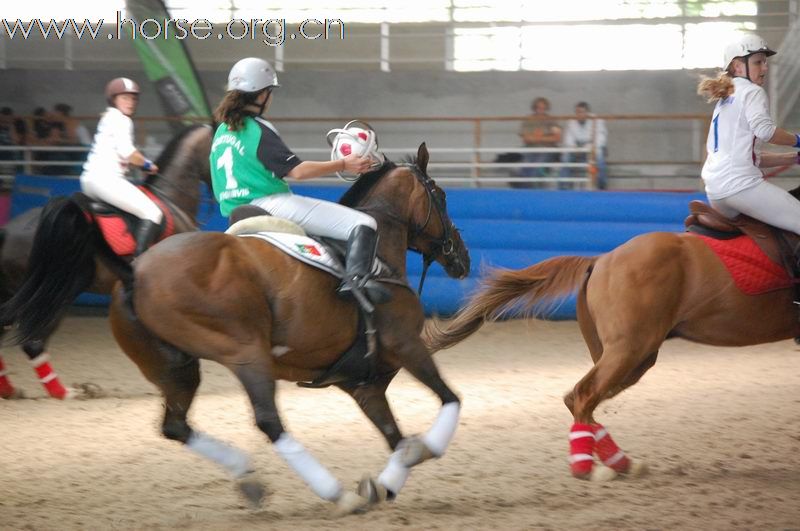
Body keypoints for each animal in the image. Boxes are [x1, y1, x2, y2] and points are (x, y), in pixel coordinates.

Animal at [424, 220, 800, 482]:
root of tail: (602, 259)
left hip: (629, 356)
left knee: (585, 399)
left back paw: (620, 463)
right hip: (630, 350)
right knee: (582, 395)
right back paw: (590, 468)